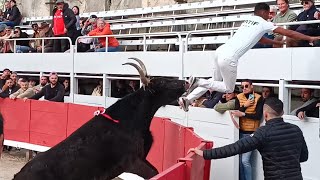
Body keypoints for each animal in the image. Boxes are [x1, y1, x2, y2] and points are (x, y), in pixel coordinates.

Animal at [13, 58, 188, 179]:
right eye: (163, 82)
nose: (185, 82)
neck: (129, 120)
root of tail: (18, 175)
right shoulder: (133, 162)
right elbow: (155, 172)